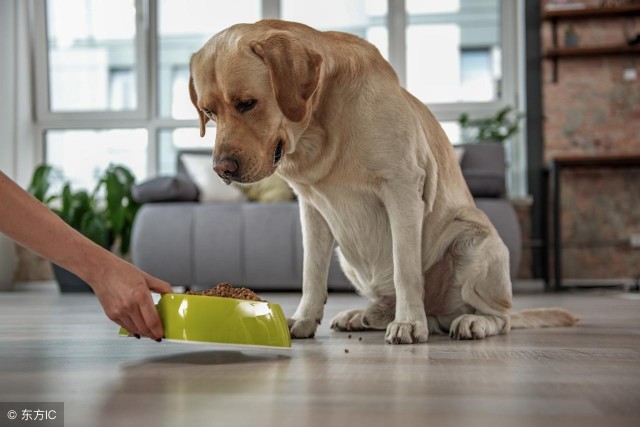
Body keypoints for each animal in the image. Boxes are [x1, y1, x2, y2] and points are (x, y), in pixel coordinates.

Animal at [188, 21, 576, 346]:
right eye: (208, 112)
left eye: (247, 103)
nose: (221, 169)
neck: (319, 129)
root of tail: (439, 313)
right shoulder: (311, 209)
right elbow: (311, 273)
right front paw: (303, 319)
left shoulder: (402, 191)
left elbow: (406, 269)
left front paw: (409, 324)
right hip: (348, 256)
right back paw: (363, 315)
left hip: (474, 242)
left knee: (502, 317)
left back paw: (468, 321)